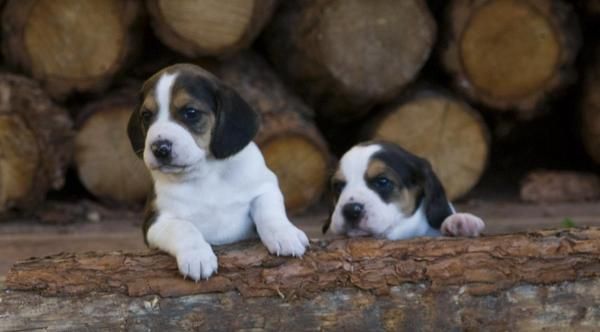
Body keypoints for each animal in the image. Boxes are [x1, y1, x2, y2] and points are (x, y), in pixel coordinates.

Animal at [124, 64, 308, 280]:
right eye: (146, 115)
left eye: (191, 112)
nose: (160, 148)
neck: (206, 173)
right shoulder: (155, 221)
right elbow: (184, 227)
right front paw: (197, 256)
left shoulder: (265, 187)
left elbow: (270, 212)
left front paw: (286, 234)